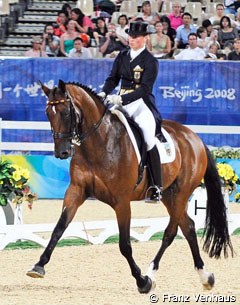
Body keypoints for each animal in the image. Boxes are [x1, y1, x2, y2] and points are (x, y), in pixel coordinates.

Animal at [26, 79, 232, 294]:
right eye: (48, 113)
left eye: (66, 112)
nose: (62, 152)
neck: (100, 140)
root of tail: (194, 137)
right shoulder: (76, 191)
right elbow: (59, 228)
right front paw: (38, 266)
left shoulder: (122, 201)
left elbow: (124, 244)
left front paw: (141, 281)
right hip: (169, 195)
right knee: (189, 227)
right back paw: (206, 277)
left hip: (181, 193)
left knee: (171, 232)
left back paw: (151, 275)